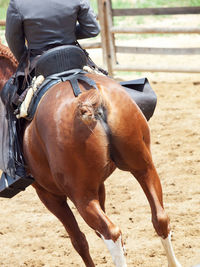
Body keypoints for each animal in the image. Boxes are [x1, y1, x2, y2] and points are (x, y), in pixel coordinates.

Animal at [0, 45, 181, 266]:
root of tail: (87, 98)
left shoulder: (49, 195)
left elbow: (79, 240)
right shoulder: (98, 186)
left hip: (81, 197)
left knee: (110, 232)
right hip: (143, 168)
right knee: (160, 218)